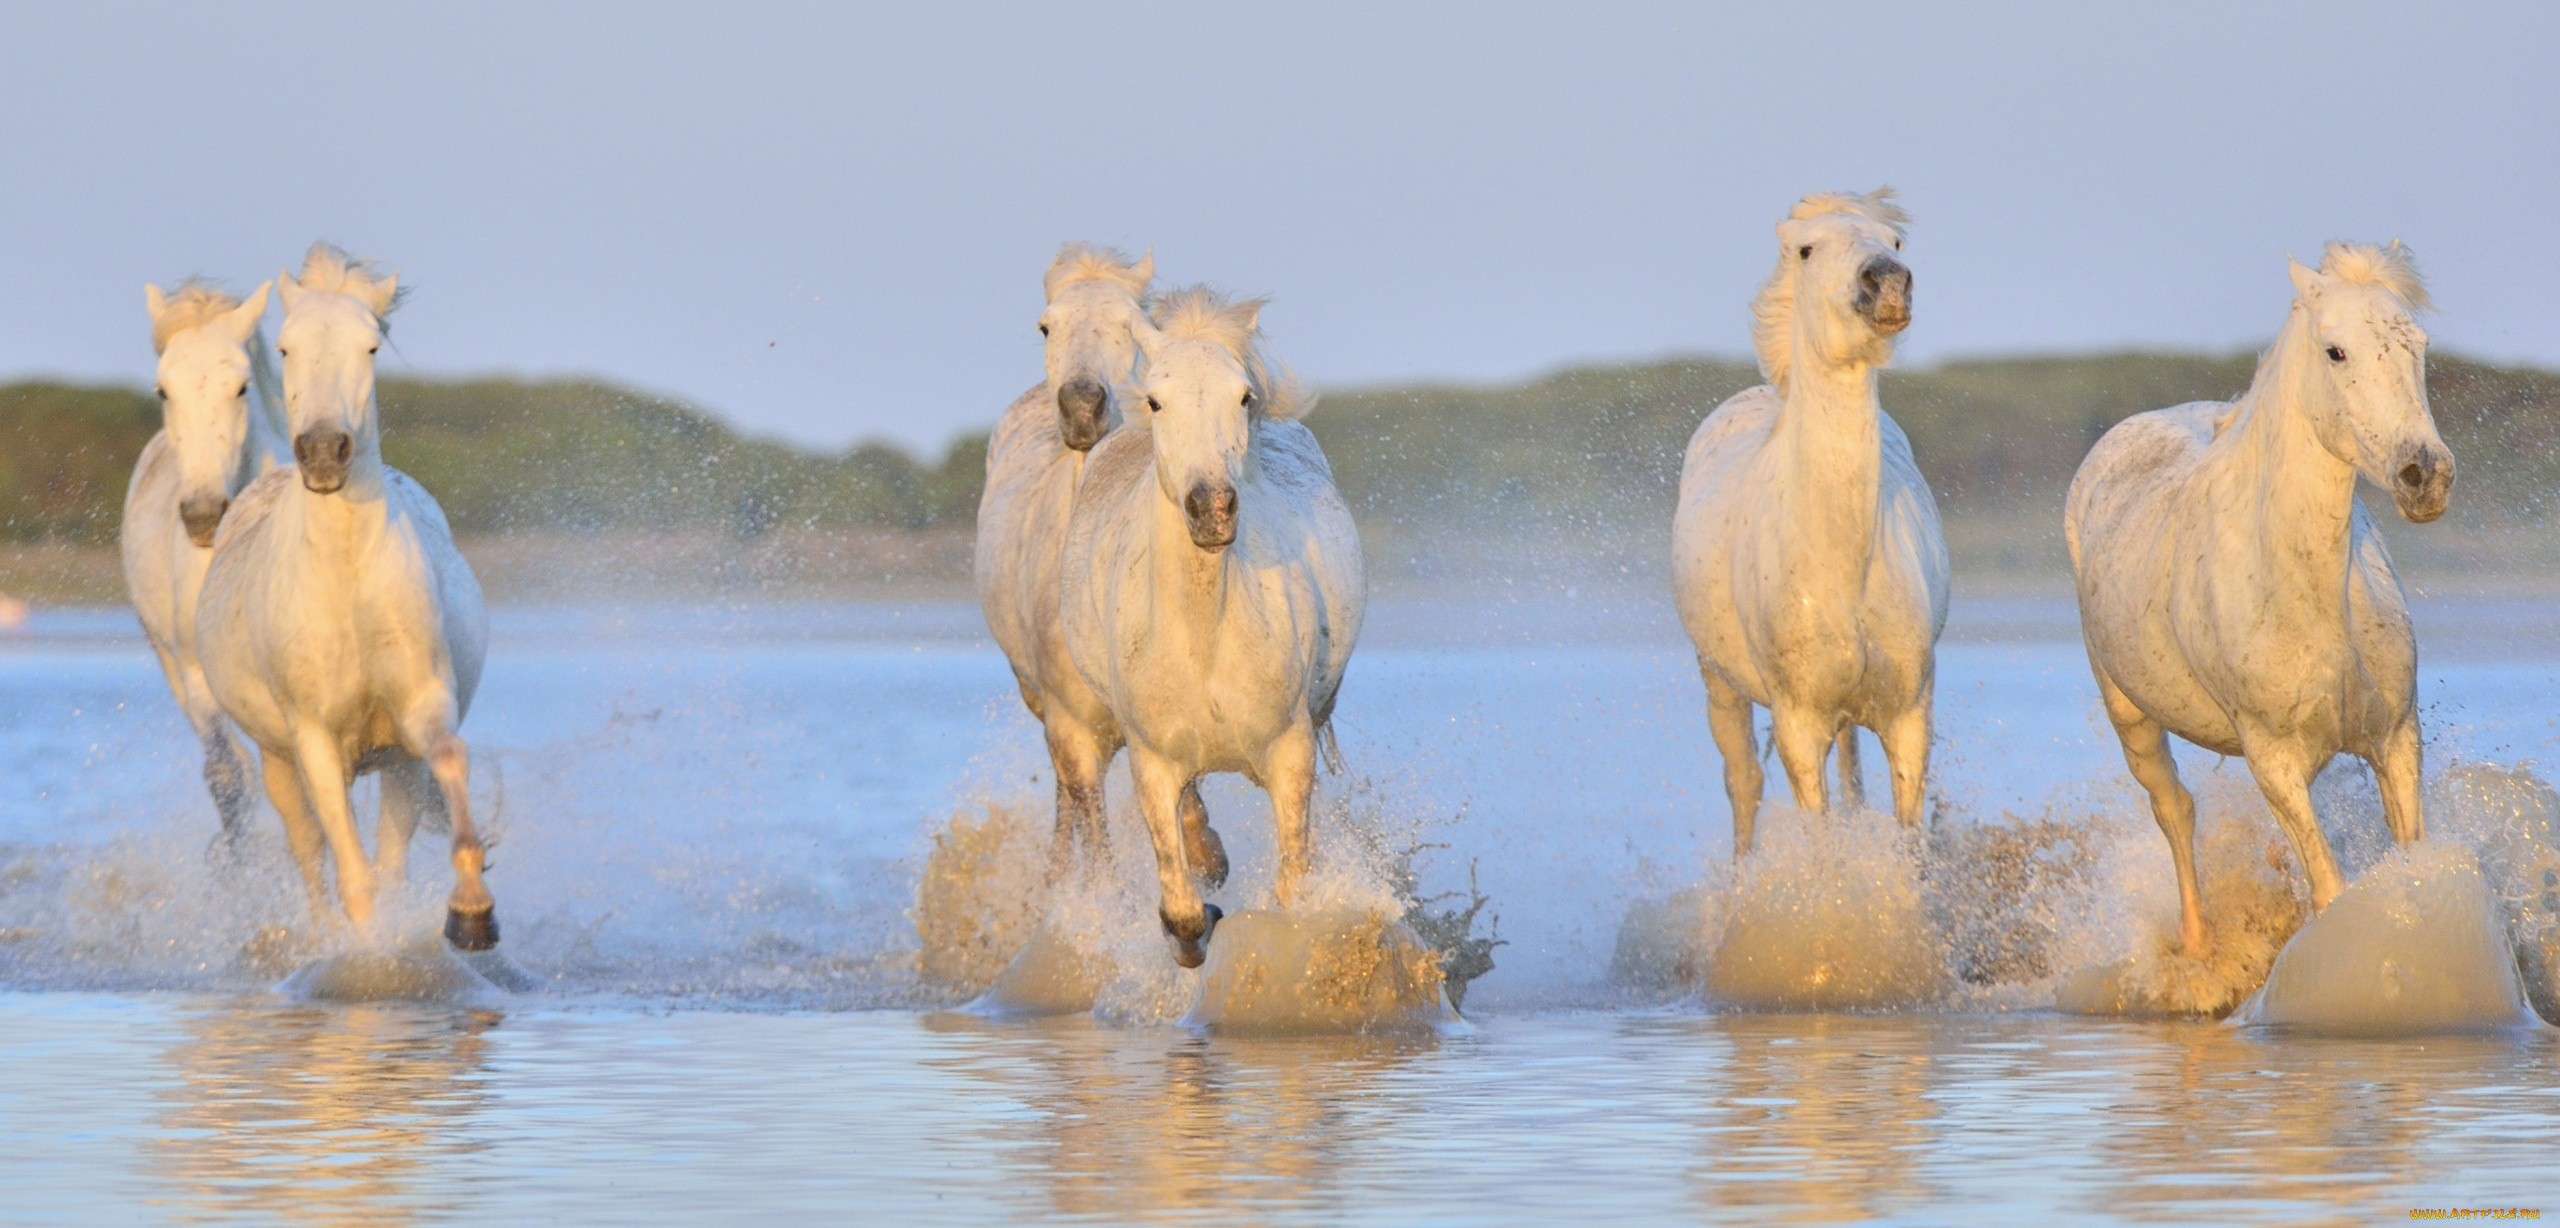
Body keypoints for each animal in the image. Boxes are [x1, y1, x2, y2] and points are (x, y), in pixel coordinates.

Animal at [120, 283, 285, 844]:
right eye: (163, 391)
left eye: (240, 388)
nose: (202, 515)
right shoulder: (198, 675)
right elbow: (229, 776)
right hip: (172, 662)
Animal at [199, 244, 499, 946]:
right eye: (285, 347)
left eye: (370, 346)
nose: (323, 452)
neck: (347, 587)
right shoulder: (313, 741)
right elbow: (349, 871)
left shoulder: (420, 709)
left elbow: (451, 758)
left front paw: (472, 911)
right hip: (276, 758)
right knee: (309, 848)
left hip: (396, 767)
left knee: (391, 852)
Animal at [1054, 290, 1361, 967]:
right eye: (1155, 400)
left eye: (1242, 396)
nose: (1213, 509)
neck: (1208, 635)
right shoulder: (1152, 760)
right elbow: (1182, 907)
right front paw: (1205, 912)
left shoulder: (1292, 751)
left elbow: (1293, 883)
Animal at [1669, 189, 1945, 854]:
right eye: (1806, 249)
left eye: (1895, 242)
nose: (1887, 285)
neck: (1841, 569)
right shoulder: (1799, 722)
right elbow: (1820, 846)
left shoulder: (1909, 715)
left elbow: (1909, 839)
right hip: (1719, 681)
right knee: (1743, 783)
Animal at [2068, 241, 2447, 961]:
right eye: (2335, 351)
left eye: (2417, 344)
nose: (2426, 477)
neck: (2310, 599)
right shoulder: (2273, 762)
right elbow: (2328, 889)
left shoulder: (2396, 739)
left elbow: (2413, 862)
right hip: (2129, 714)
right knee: (2174, 808)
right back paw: (2197, 944)